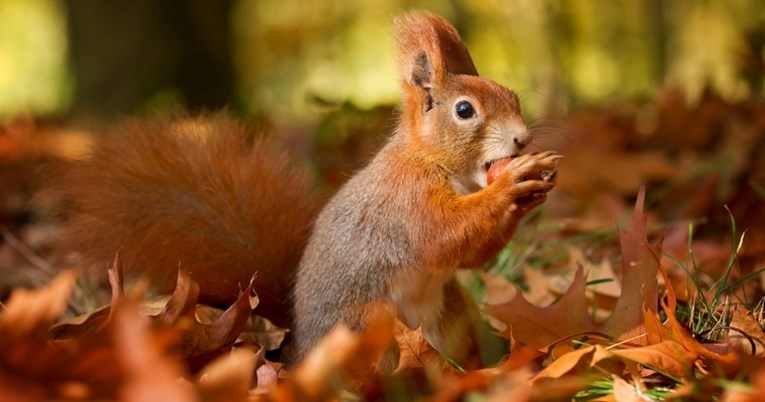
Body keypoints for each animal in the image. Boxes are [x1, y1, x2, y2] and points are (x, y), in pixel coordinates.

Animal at [49, 11, 560, 364]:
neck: (431, 159)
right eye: (465, 111)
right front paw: (513, 185)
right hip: (367, 326)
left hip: (452, 314)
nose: (522, 139)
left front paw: (533, 188)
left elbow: (468, 253)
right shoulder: (407, 199)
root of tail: (300, 348)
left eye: (511, 96)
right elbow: (443, 235)